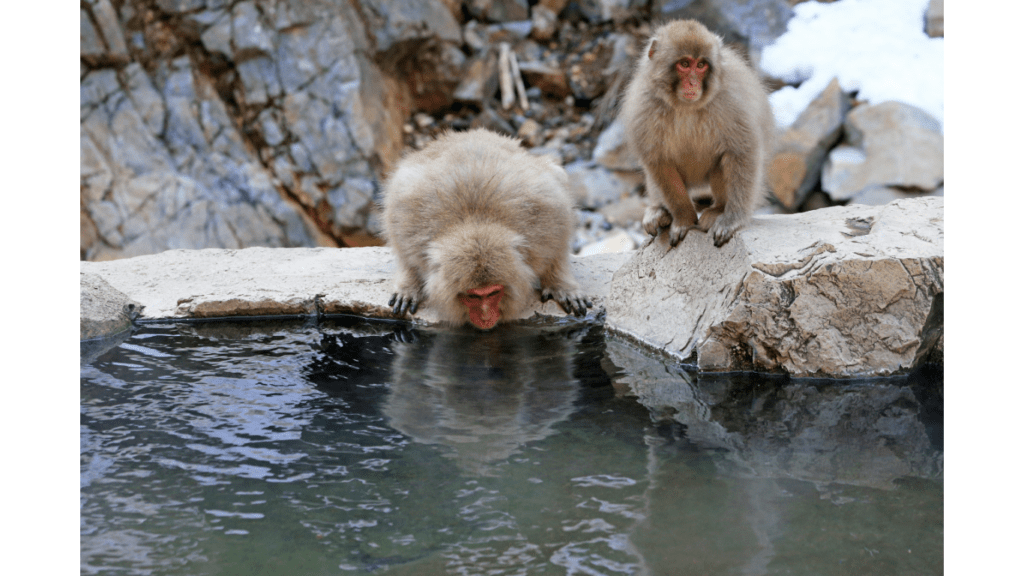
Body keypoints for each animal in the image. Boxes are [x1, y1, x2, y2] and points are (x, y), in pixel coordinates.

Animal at [382, 128, 593, 330]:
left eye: (493, 293)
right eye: (474, 296)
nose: (485, 316)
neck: (476, 224)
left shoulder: (545, 225)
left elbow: (558, 245)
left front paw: (561, 285)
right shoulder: (411, 229)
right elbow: (405, 251)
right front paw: (410, 285)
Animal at [614, 17, 774, 245]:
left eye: (701, 65)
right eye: (684, 64)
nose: (693, 83)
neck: (685, 106)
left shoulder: (731, 102)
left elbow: (743, 151)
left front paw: (732, 219)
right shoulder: (643, 108)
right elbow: (658, 161)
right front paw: (684, 220)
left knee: (725, 158)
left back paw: (718, 209)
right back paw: (659, 210)